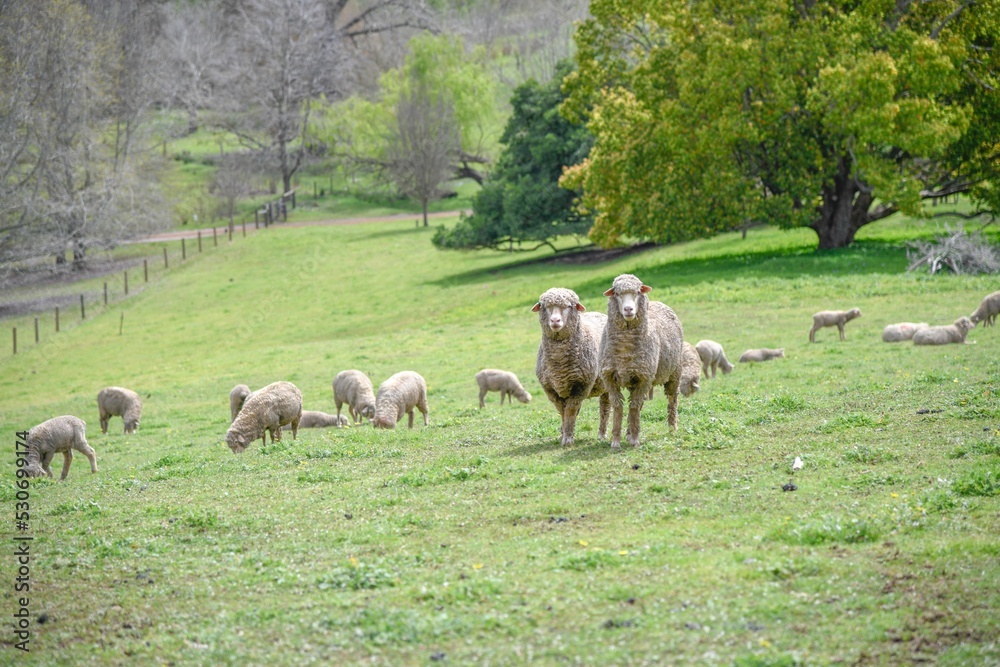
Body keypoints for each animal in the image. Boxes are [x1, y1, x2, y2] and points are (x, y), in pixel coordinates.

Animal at [532, 287, 610, 446]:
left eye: (568, 306)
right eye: (545, 306)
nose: (555, 320)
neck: (559, 362)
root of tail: (600, 314)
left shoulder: (581, 385)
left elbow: (570, 410)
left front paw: (567, 438)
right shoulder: (550, 389)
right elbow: (562, 411)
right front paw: (564, 434)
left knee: (605, 407)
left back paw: (602, 434)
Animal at [598, 274, 684, 449]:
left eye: (637, 292)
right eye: (617, 293)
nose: (628, 310)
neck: (625, 348)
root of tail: (659, 303)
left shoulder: (645, 377)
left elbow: (634, 406)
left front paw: (635, 439)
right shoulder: (609, 377)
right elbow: (618, 406)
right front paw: (616, 440)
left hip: (674, 372)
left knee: (672, 399)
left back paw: (672, 427)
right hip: (636, 378)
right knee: (637, 403)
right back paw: (629, 432)